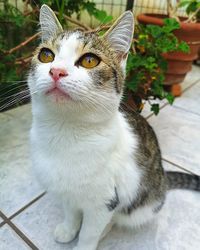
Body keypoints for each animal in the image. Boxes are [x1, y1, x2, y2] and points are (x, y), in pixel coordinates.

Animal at [27, 4, 200, 250]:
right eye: (46, 55)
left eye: (90, 61)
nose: (56, 71)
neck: (65, 131)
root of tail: (164, 179)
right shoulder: (66, 190)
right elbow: (71, 211)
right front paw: (69, 228)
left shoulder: (106, 200)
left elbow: (89, 232)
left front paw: (84, 242)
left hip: (141, 205)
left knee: (118, 217)